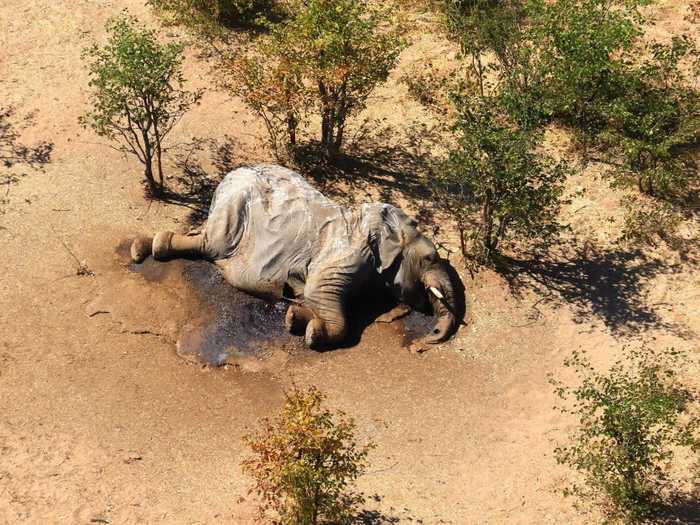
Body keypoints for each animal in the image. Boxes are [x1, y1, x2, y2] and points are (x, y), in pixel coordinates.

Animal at [130, 164, 464, 348]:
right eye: (430, 258)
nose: (425, 342)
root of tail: (230, 174)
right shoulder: (347, 254)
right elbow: (320, 295)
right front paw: (311, 332)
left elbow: (315, 298)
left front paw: (294, 317)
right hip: (234, 205)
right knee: (210, 244)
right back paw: (147, 248)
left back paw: (144, 246)